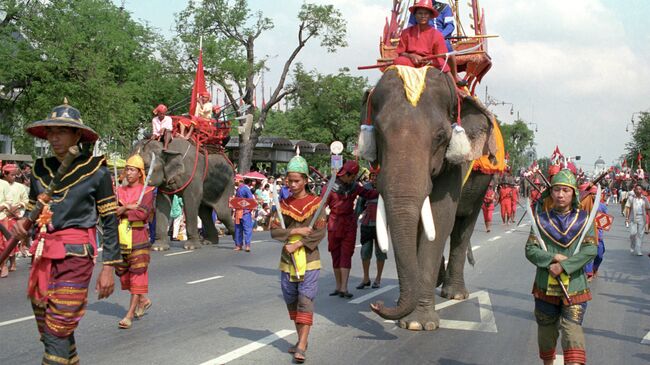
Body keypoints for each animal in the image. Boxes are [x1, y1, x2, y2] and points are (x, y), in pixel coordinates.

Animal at [362, 66, 498, 330]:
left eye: (440, 136)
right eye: (379, 132)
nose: (376, 305)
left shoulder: (454, 165)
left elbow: (440, 217)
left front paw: (417, 324)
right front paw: (412, 320)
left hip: (483, 185)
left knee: (463, 227)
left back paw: (454, 293)